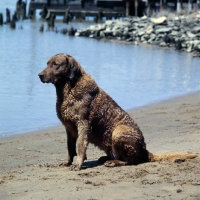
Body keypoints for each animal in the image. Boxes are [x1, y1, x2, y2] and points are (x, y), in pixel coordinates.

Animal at [38, 53, 198, 170]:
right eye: (47, 63)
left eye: (56, 65)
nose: (39, 75)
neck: (68, 90)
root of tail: (145, 150)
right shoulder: (69, 128)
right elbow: (70, 148)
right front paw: (68, 162)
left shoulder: (83, 124)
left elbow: (80, 146)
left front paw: (78, 164)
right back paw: (107, 158)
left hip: (119, 131)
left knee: (132, 160)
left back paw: (114, 162)